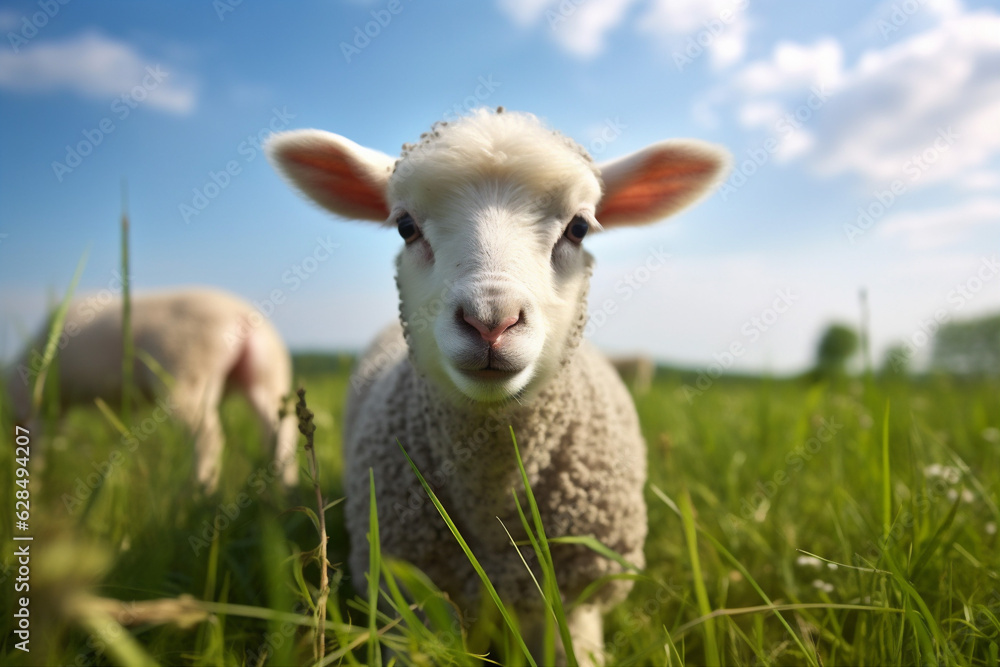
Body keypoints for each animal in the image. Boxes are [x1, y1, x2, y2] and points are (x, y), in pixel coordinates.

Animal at [6, 287, 299, 493]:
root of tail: (243, 316)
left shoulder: (34, 403)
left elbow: (38, 444)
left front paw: (33, 486)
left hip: (185, 373)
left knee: (207, 437)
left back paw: (197, 496)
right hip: (269, 377)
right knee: (280, 434)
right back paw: (285, 492)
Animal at [267, 108, 728, 664]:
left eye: (579, 227)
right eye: (405, 226)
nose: (491, 321)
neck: (492, 498)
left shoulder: (575, 597)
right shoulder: (409, 593)